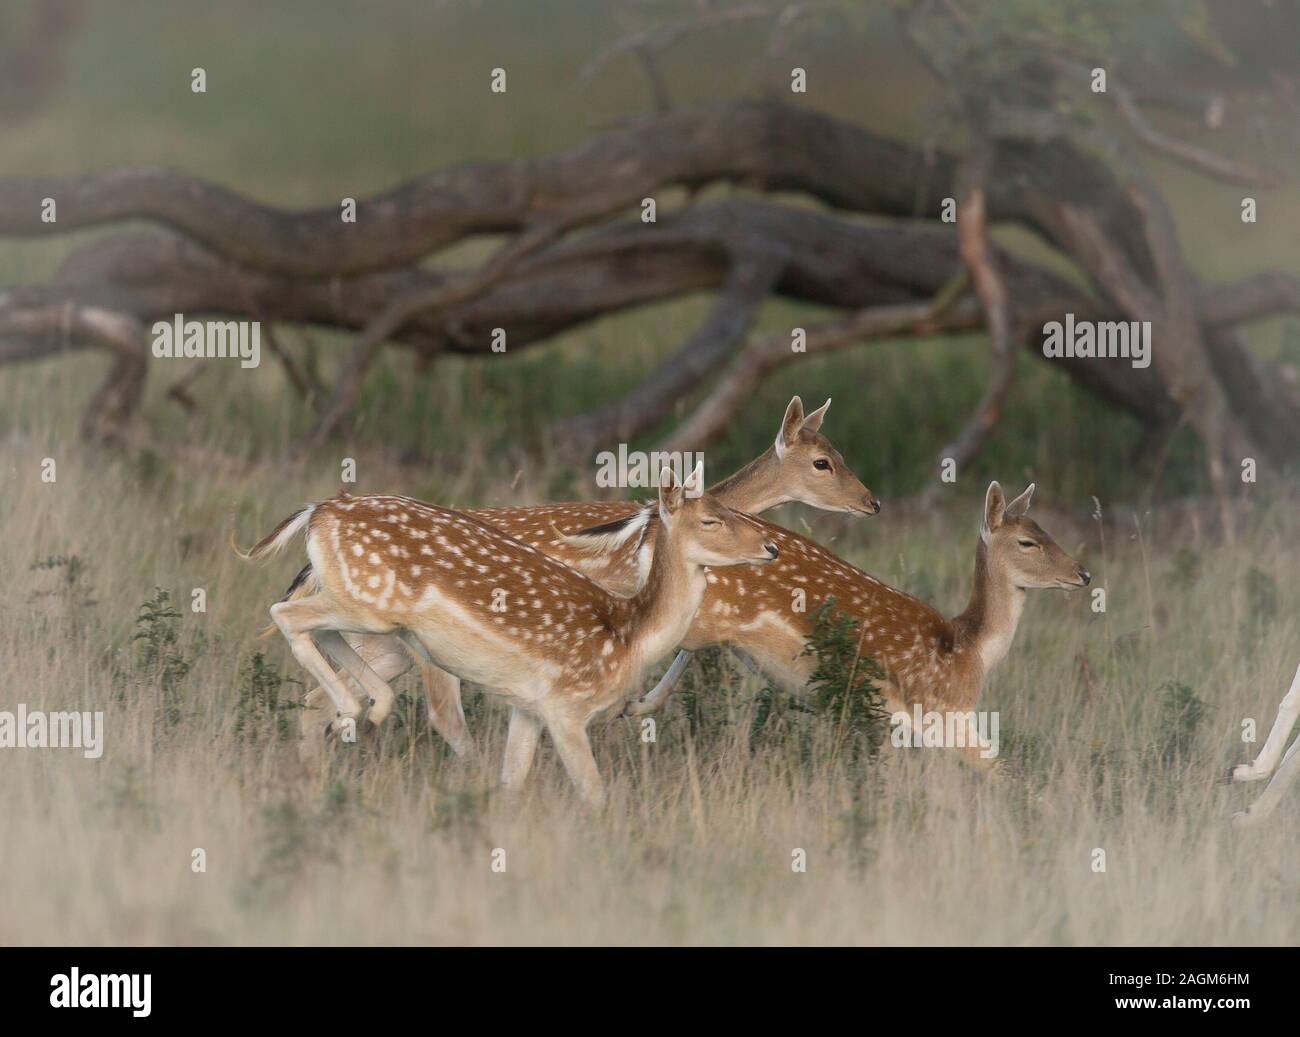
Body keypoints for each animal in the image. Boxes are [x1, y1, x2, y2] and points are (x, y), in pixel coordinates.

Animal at [240, 466, 778, 806]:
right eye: (710, 519)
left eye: (732, 510)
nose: (770, 547)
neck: (630, 635)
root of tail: (317, 512)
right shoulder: (566, 708)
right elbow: (594, 794)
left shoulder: (528, 708)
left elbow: (510, 785)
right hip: (368, 602)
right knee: (284, 612)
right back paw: (354, 712)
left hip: (370, 611)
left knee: (315, 634)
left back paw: (364, 713)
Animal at [288, 396, 878, 756]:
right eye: (823, 462)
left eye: (840, 451)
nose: (871, 502)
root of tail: (309, 560)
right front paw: (631, 710)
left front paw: (635, 709)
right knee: (427, 709)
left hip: (391, 637)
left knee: (323, 692)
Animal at [621, 481, 1090, 774]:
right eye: (1028, 542)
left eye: (1045, 530)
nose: (1083, 574)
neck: (968, 649)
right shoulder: (941, 712)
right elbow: (1001, 770)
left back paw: (638, 705)